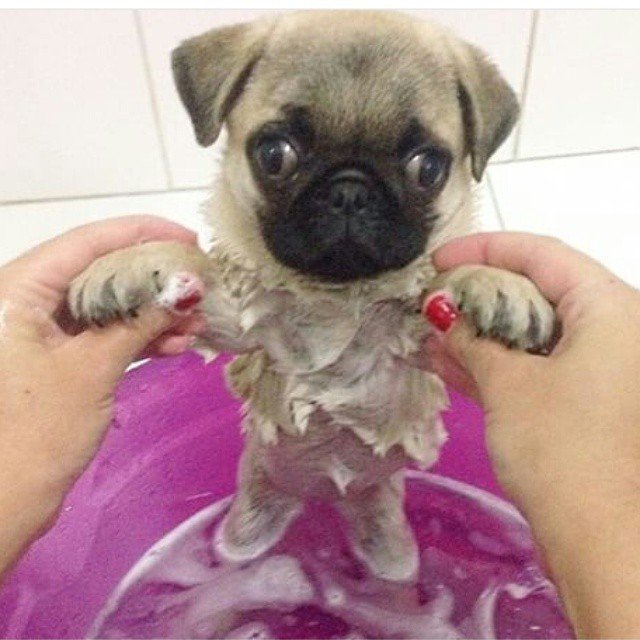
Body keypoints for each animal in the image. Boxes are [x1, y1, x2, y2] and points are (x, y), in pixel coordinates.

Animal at [69, 11, 556, 580]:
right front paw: (128, 262)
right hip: (253, 516)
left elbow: (446, 282)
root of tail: (326, 496)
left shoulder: (415, 338)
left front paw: (496, 281)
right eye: (274, 154)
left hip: (387, 538)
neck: (336, 298)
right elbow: (191, 265)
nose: (350, 188)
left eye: (428, 168)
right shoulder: (243, 319)